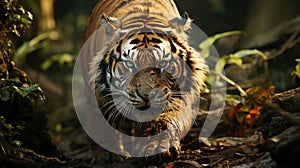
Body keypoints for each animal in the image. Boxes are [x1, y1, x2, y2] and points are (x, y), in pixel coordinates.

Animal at [81, 0, 207, 158]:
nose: (147, 95)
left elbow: (167, 120)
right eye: (129, 64)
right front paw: (107, 154)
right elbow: (99, 125)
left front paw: (157, 145)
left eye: (162, 64)